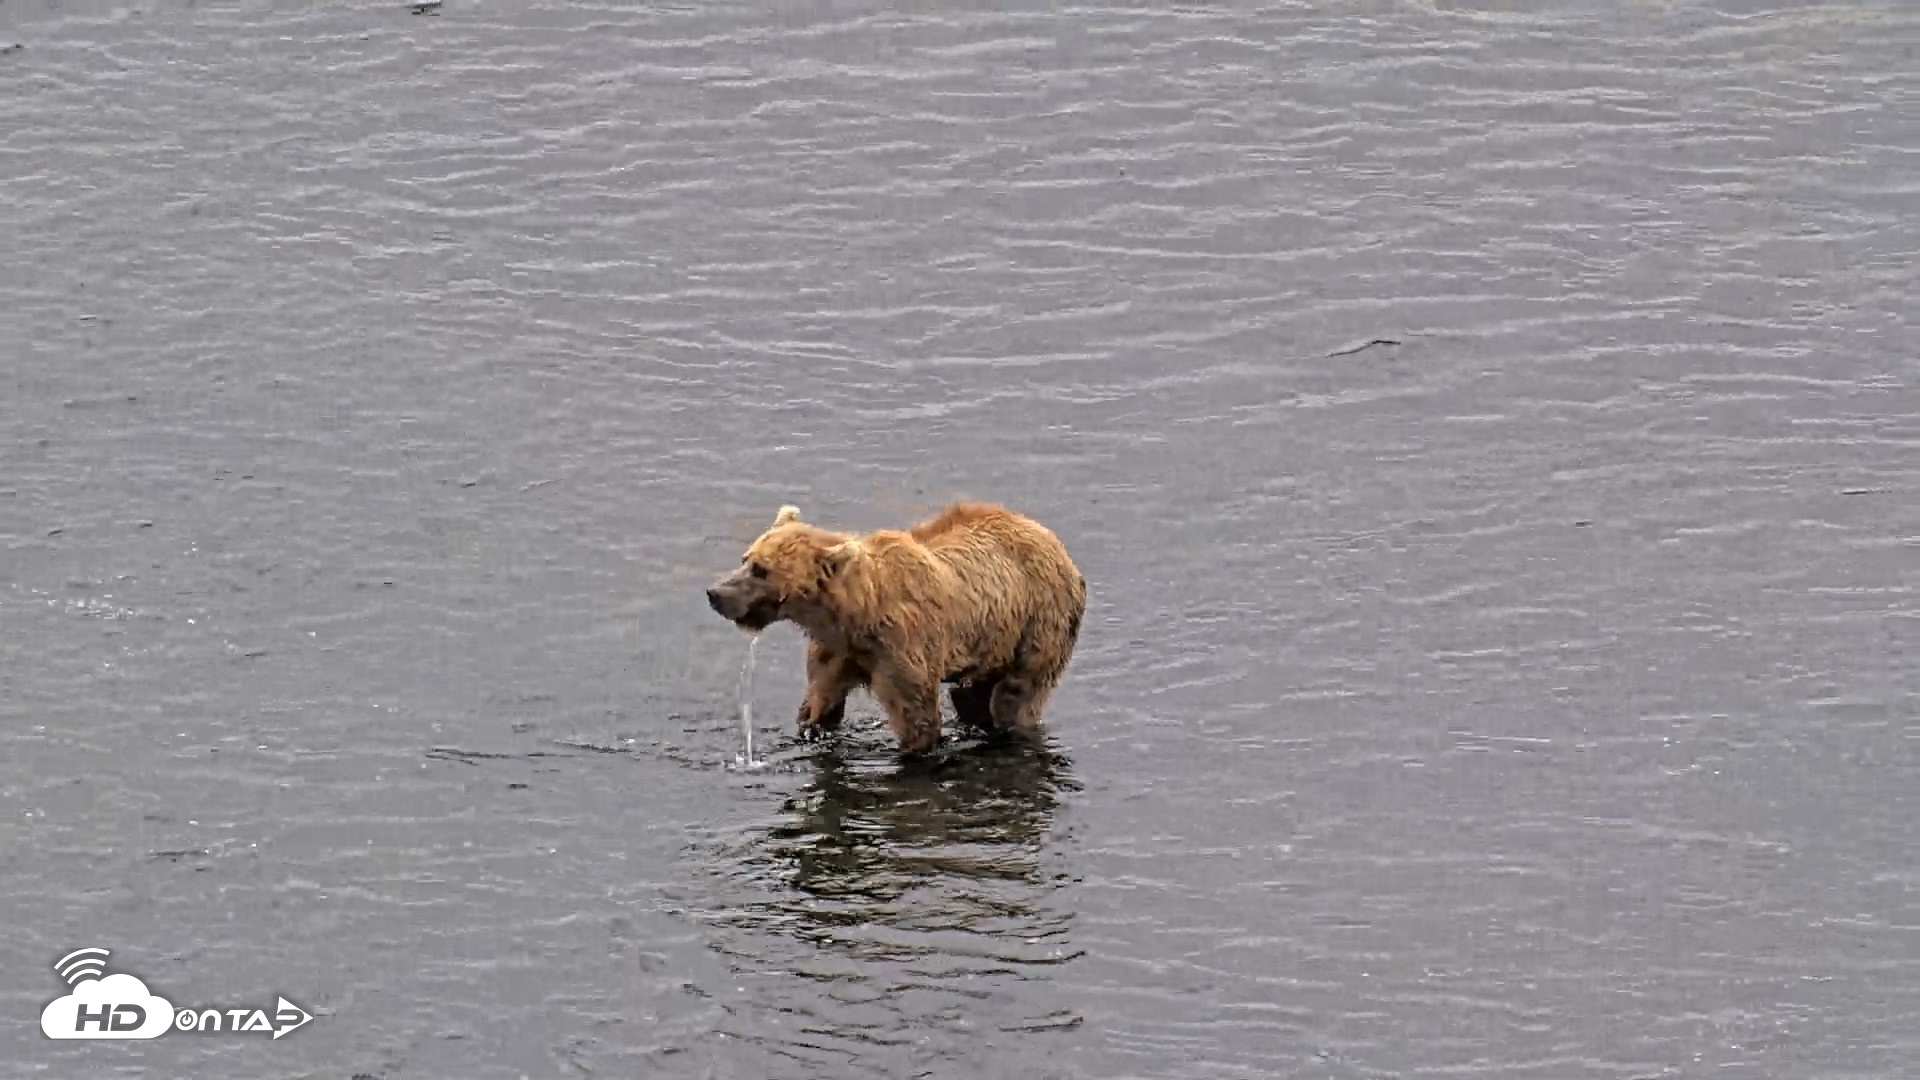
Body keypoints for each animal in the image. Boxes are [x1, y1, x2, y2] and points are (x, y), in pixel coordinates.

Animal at [705, 501, 1086, 755]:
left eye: (762, 570)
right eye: (746, 559)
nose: (715, 593)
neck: (856, 614)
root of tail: (1051, 538)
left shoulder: (903, 645)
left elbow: (915, 713)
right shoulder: (837, 650)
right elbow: (820, 702)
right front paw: (813, 727)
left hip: (1041, 618)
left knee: (1018, 694)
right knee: (971, 695)